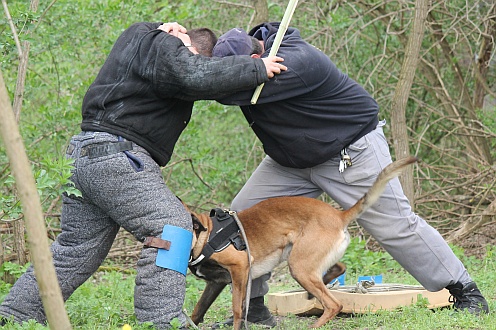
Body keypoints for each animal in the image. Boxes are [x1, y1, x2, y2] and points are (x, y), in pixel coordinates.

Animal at [186, 156, 418, 328]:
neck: (206, 235)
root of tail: (338, 215)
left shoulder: (240, 269)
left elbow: (236, 310)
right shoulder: (216, 283)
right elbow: (197, 310)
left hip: (299, 267)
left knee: (334, 304)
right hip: (307, 260)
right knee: (338, 269)